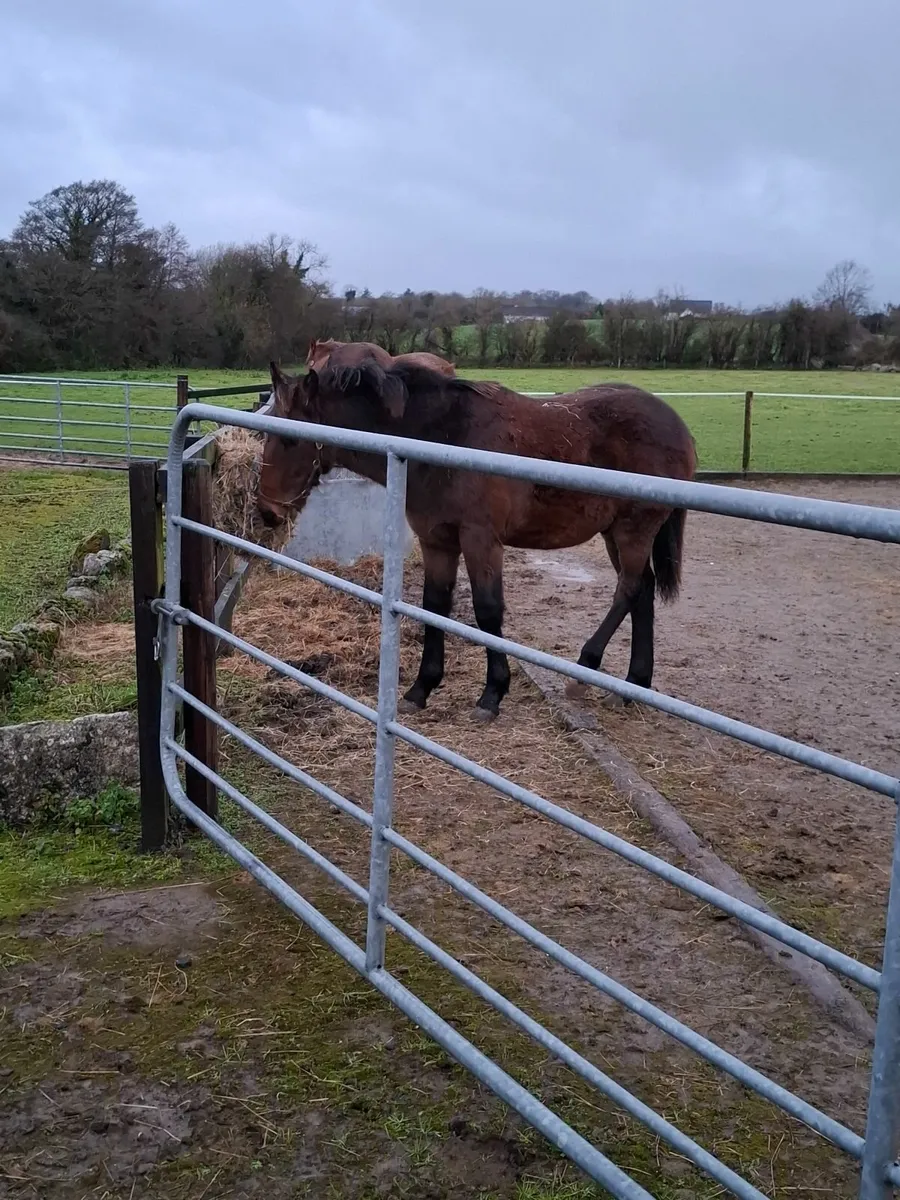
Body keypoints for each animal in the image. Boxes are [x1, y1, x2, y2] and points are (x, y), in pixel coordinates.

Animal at [257, 360, 696, 721]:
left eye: (291, 440)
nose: (267, 511)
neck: (442, 436)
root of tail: (678, 425)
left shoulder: (480, 539)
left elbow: (488, 612)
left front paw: (492, 694)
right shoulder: (437, 541)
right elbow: (434, 606)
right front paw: (421, 689)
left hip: (633, 530)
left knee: (629, 590)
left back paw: (585, 670)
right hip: (614, 533)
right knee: (643, 591)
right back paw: (633, 686)